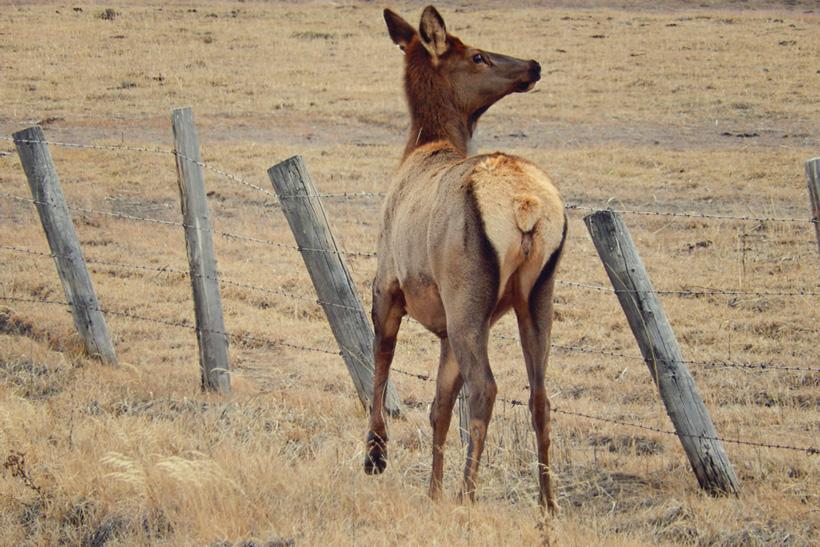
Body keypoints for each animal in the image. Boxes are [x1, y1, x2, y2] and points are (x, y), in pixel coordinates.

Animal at [364, 5, 566, 512]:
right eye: (478, 55)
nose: (533, 65)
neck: (419, 147)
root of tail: (525, 206)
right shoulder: (444, 329)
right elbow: (438, 406)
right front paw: (431, 490)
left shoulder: (386, 284)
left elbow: (381, 360)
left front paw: (375, 454)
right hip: (535, 296)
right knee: (539, 396)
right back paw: (547, 505)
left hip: (467, 295)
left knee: (486, 387)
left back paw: (467, 494)